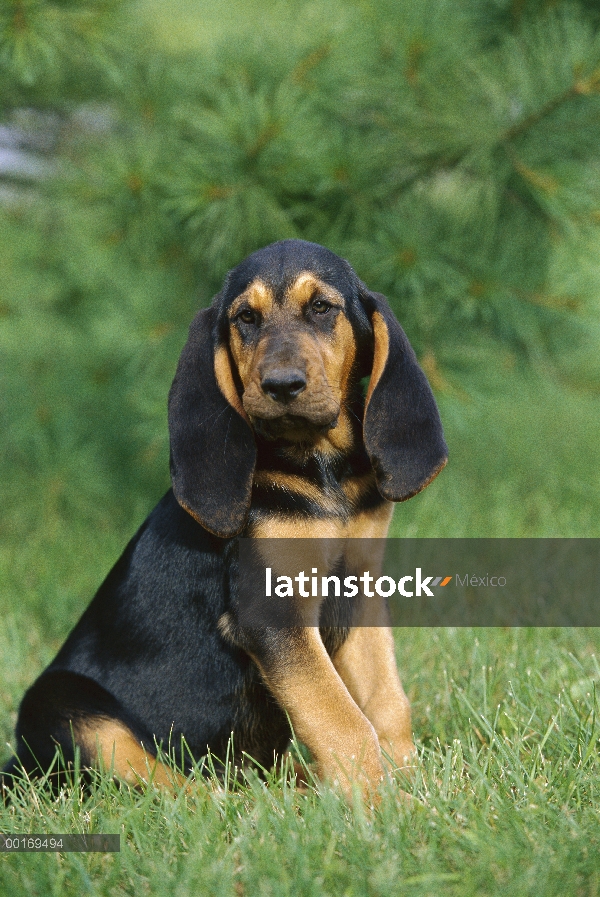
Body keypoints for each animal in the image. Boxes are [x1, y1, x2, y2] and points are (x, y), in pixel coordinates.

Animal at [3, 240, 446, 800]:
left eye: (322, 308)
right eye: (245, 319)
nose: (281, 386)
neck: (320, 468)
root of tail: (14, 766)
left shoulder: (362, 590)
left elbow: (386, 703)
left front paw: (411, 784)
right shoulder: (271, 611)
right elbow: (339, 715)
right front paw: (380, 802)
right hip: (65, 708)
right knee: (184, 789)